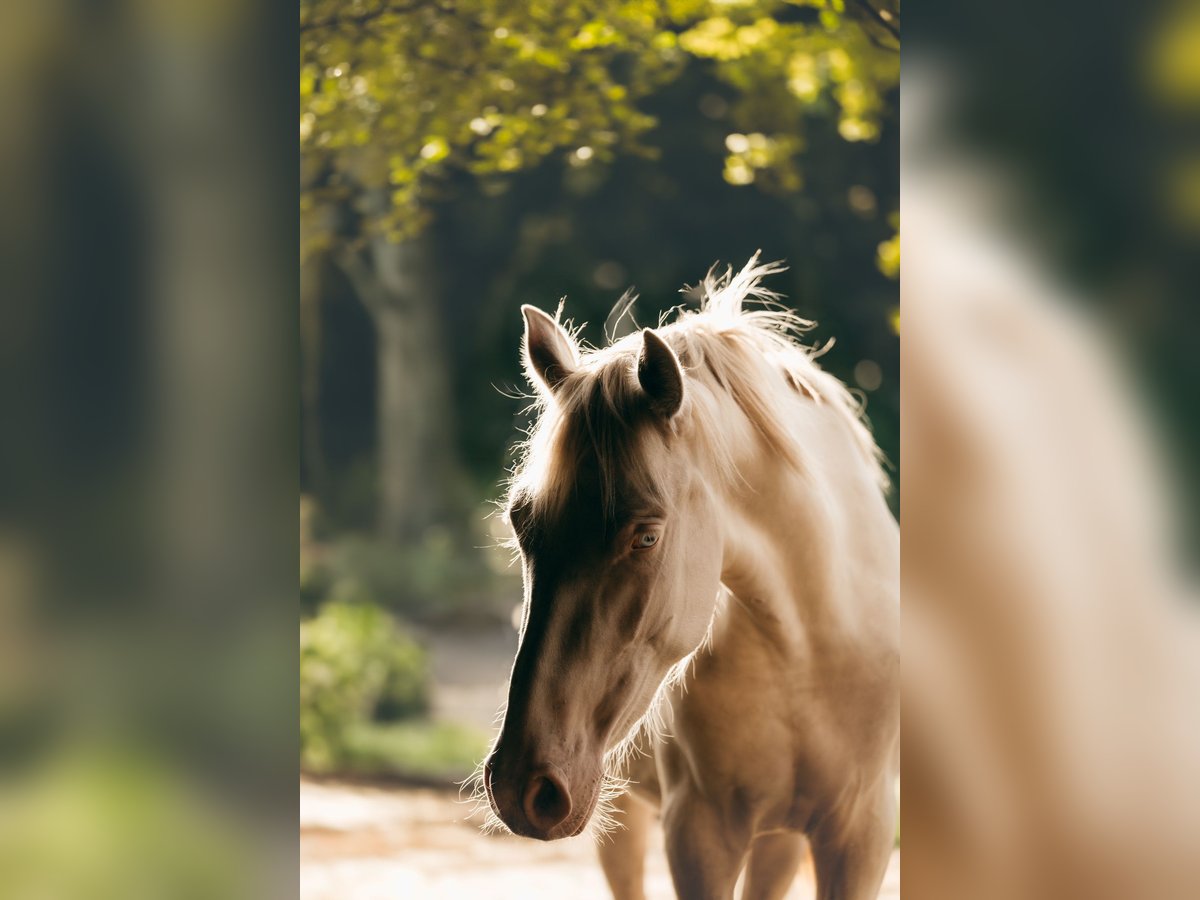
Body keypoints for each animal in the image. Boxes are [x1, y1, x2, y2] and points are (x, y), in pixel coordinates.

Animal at [477, 255, 902, 900]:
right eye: (521, 523)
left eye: (646, 536)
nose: (521, 786)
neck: (808, 653)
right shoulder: (701, 834)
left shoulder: (862, 837)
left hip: (777, 838)